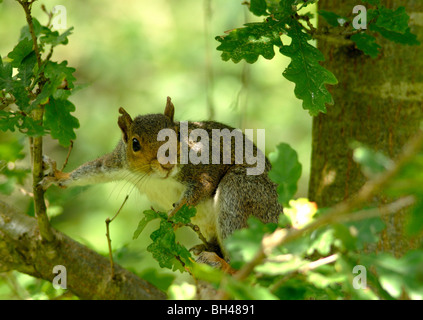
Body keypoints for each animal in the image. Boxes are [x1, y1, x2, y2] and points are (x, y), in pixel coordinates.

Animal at [42, 97, 282, 262]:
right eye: (135, 143)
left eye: (177, 134)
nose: (167, 164)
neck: (156, 177)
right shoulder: (117, 164)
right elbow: (92, 170)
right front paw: (58, 177)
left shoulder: (204, 167)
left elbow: (201, 188)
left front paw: (170, 221)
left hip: (243, 192)